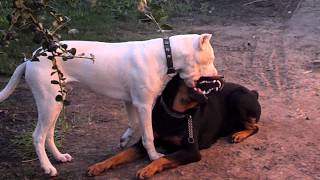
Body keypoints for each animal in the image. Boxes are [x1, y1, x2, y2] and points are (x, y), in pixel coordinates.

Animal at [0, 33, 218, 176]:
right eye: (211, 59)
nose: (219, 77)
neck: (165, 54)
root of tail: (30, 59)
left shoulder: (131, 101)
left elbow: (134, 124)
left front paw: (124, 140)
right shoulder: (143, 104)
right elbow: (148, 135)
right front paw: (154, 156)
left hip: (56, 103)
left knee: (49, 135)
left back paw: (60, 157)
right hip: (48, 104)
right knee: (38, 136)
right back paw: (48, 168)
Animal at [87, 75, 260, 179]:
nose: (222, 77)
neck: (174, 114)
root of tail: (253, 92)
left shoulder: (191, 151)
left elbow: (163, 158)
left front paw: (147, 169)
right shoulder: (143, 144)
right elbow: (120, 155)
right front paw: (99, 166)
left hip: (238, 98)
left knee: (255, 127)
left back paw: (239, 135)